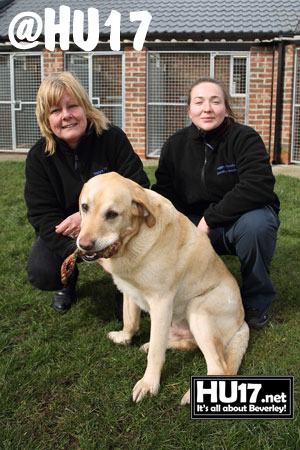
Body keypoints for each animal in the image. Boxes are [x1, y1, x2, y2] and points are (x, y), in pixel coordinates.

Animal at [77, 172, 248, 404]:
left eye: (112, 214)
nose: (83, 245)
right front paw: (124, 338)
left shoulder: (161, 302)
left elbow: (156, 355)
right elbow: (130, 321)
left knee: (218, 368)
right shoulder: (129, 290)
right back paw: (149, 344)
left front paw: (149, 384)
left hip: (198, 309)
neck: (134, 239)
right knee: (187, 344)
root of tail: (243, 323)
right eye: (85, 207)